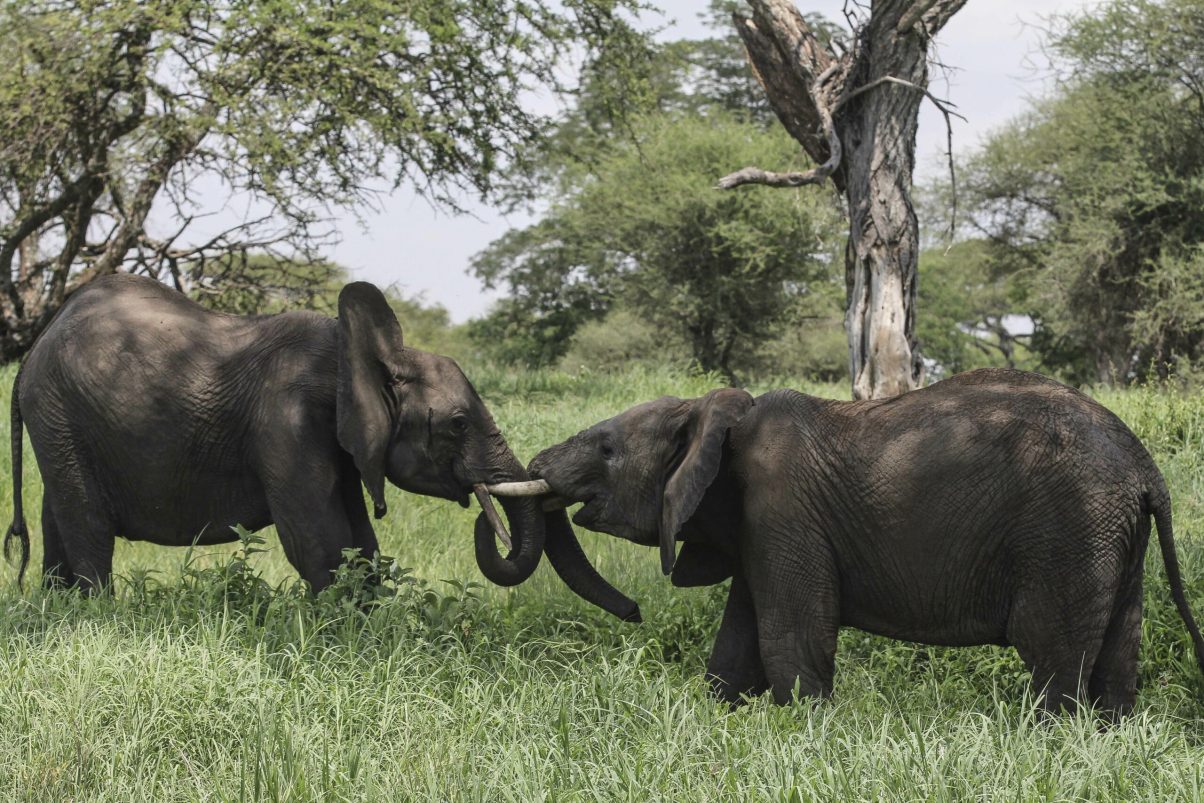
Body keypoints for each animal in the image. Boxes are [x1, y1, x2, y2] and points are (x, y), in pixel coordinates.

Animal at [1, 272, 639, 621]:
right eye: (458, 423)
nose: (636, 613)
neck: (364, 355)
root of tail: (33, 350)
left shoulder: (344, 442)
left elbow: (361, 542)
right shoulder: (286, 423)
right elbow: (320, 541)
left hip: (60, 423)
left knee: (58, 521)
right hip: (61, 412)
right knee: (88, 529)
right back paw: (98, 617)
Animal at [526, 368, 1204, 715]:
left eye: (606, 449)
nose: (634, 613)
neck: (713, 415)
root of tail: (1146, 470)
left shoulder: (782, 510)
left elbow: (791, 634)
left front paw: (804, 730)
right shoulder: (758, 527)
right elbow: (737, 644)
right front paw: (721, 719)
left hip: (1069, 529)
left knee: (1051, 651)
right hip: (1112, 535)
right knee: (1118, 650)